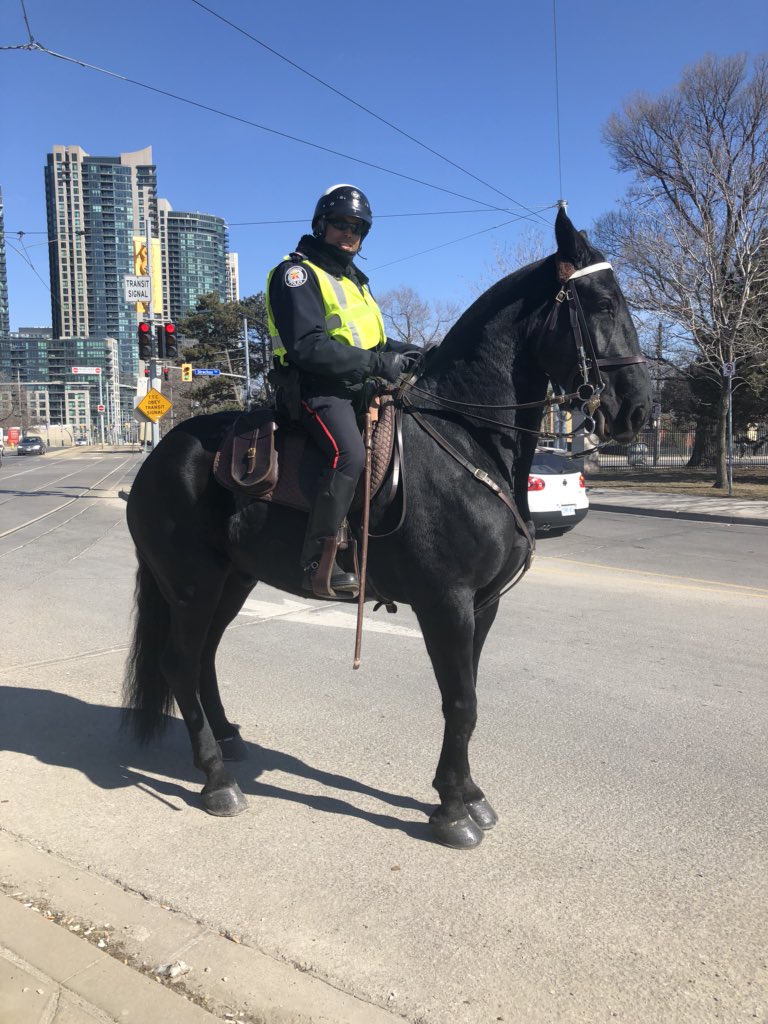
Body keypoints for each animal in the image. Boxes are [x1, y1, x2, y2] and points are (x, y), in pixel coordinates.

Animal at [124, 208, 651, 849]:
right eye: (602, 303)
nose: (637, 411)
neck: (469, 440)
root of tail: (159, 455)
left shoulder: (483, 604)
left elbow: (468, 698)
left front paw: (467, 794)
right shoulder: (446, 602)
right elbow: (460, 701)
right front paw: (452, 811)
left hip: (232, 581)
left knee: (203, 657)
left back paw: (227, 740)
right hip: (192, 584)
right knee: (180, 662)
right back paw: (217, 780)